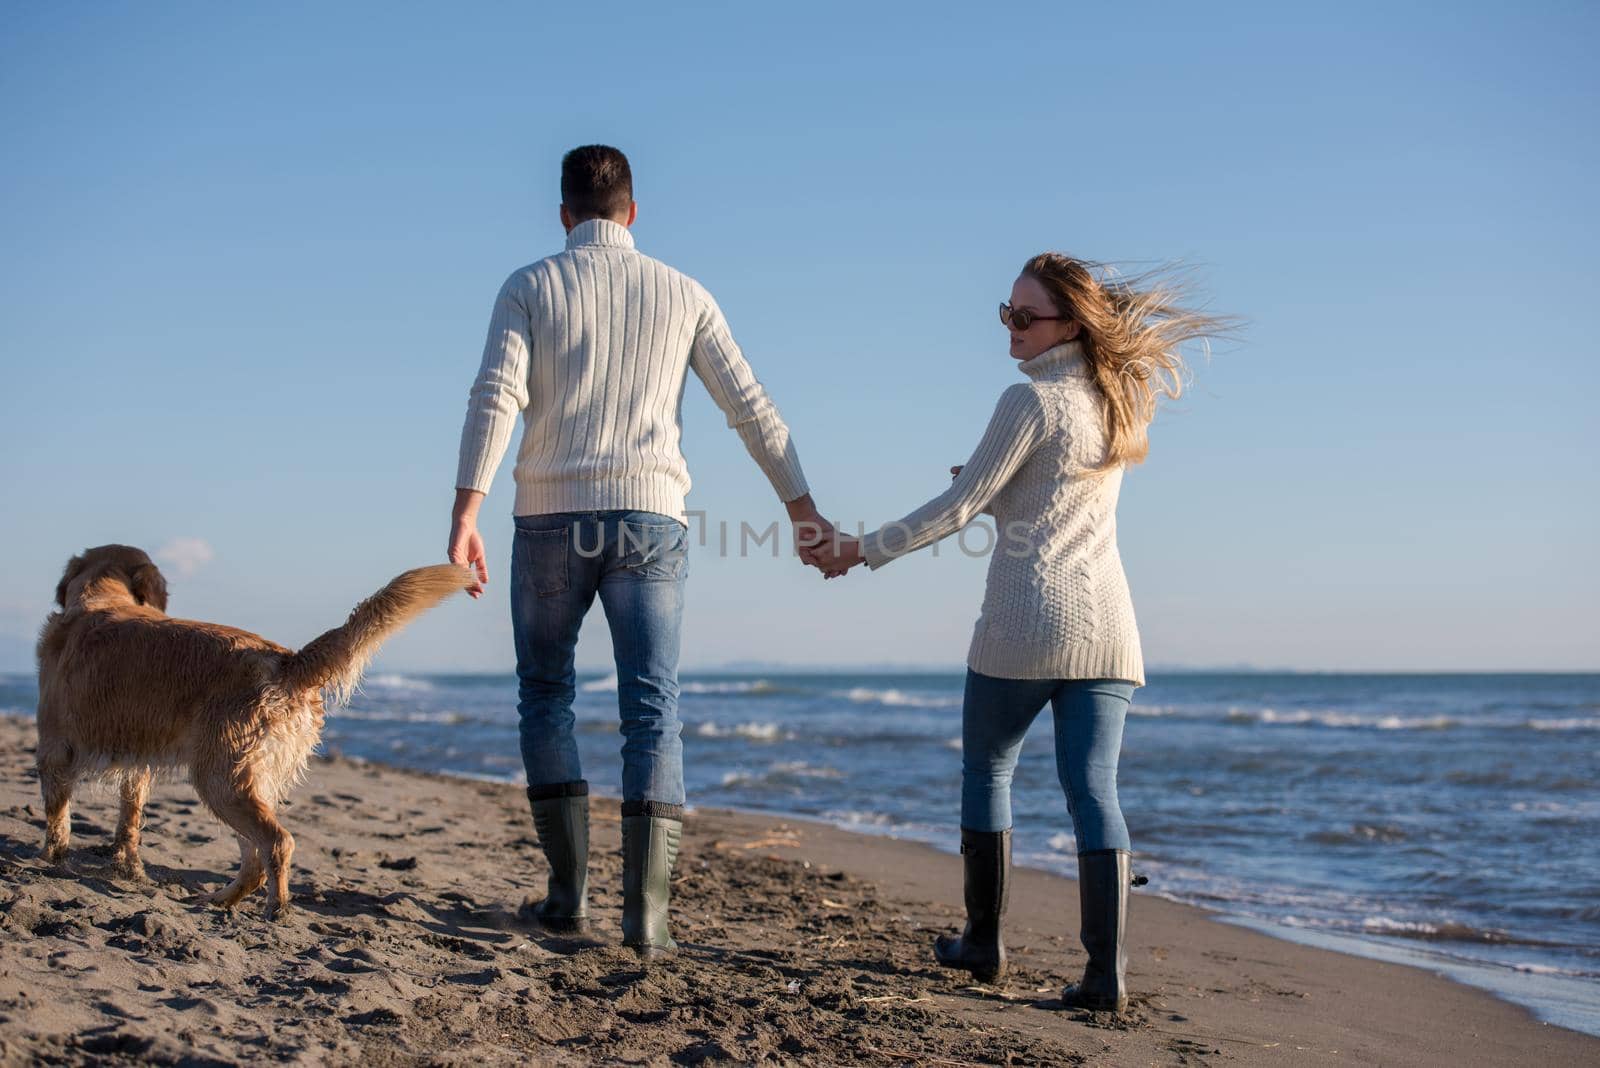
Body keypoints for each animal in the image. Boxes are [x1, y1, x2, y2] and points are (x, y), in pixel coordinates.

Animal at [36, 546, 473, 920]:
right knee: (255, 857)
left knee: (277, 843)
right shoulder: (136, 763)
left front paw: (50, 860)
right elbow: (128, 824)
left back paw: (275, 909)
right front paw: (129, 869)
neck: (103, 597)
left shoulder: (53, 748)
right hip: (241, 782)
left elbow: (58, 817)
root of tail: (288, 662)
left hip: (220, 779)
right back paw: (223, 899)